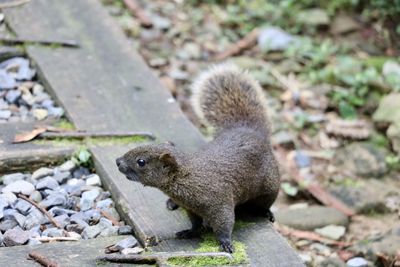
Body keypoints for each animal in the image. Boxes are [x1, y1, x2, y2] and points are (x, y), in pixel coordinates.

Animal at [114, 63, 280, 253]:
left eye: (141, 162)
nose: (117, 161)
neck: (186, 177)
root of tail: (249, 130)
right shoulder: (191, 208)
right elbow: (195, 223)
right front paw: (189, 232)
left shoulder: (220, 203)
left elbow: (224, 225)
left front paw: (226, 243)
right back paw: (172, 203)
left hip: (270, 186)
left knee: (266, 202)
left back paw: (266, 213)